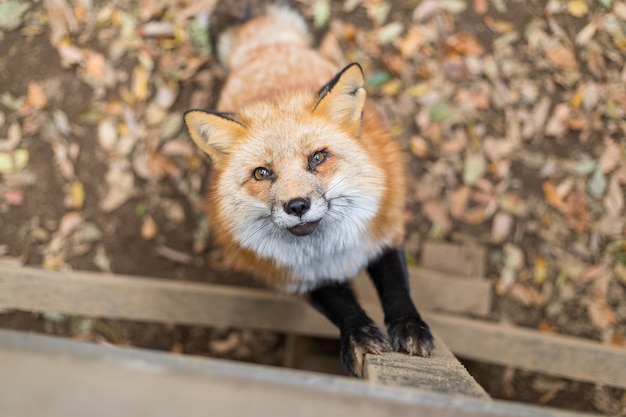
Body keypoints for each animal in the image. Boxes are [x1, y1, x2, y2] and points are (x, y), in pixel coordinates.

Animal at [183, 1, 432, 376]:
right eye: (262, 173)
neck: (329, 253)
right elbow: (342, 308)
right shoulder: (298, 279)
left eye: (317, 157)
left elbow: (397, 287)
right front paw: (357, 336)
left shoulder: (383, 233)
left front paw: (408, 326)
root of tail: (266, 46)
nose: (297, 205)